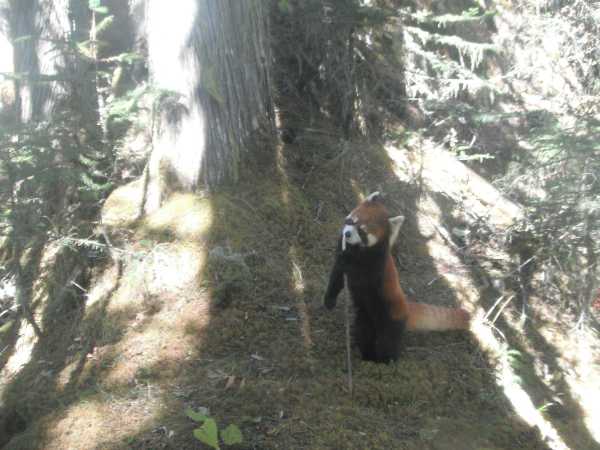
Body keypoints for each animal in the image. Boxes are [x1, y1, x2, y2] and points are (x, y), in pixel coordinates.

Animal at [324, 192, 468, 364]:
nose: (347, 233)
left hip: (390, 318)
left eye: (363, 232)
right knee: (363, 331)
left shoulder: (375, 266)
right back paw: (365, 355)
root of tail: (406, 306)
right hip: (366, 315)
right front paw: (329, 301)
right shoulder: (341, 253)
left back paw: (385, 360)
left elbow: (361, 276)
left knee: (387, 342)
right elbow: (336, 277)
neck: (357, 250)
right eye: (352, 221)